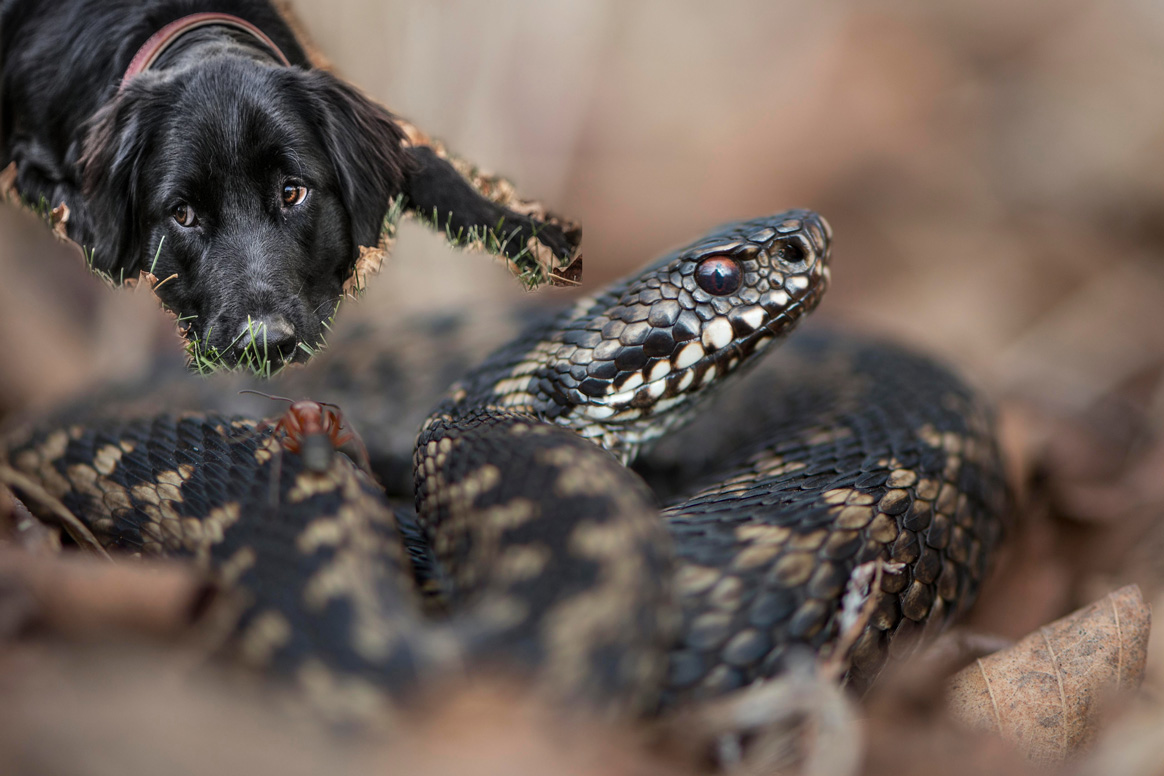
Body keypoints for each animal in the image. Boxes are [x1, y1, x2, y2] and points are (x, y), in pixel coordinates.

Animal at [2, 0, 575, 367]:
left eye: (292, 192)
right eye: (183, 214)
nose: (265, 345)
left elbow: (435, 165)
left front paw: (536, 237)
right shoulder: (33, 168)